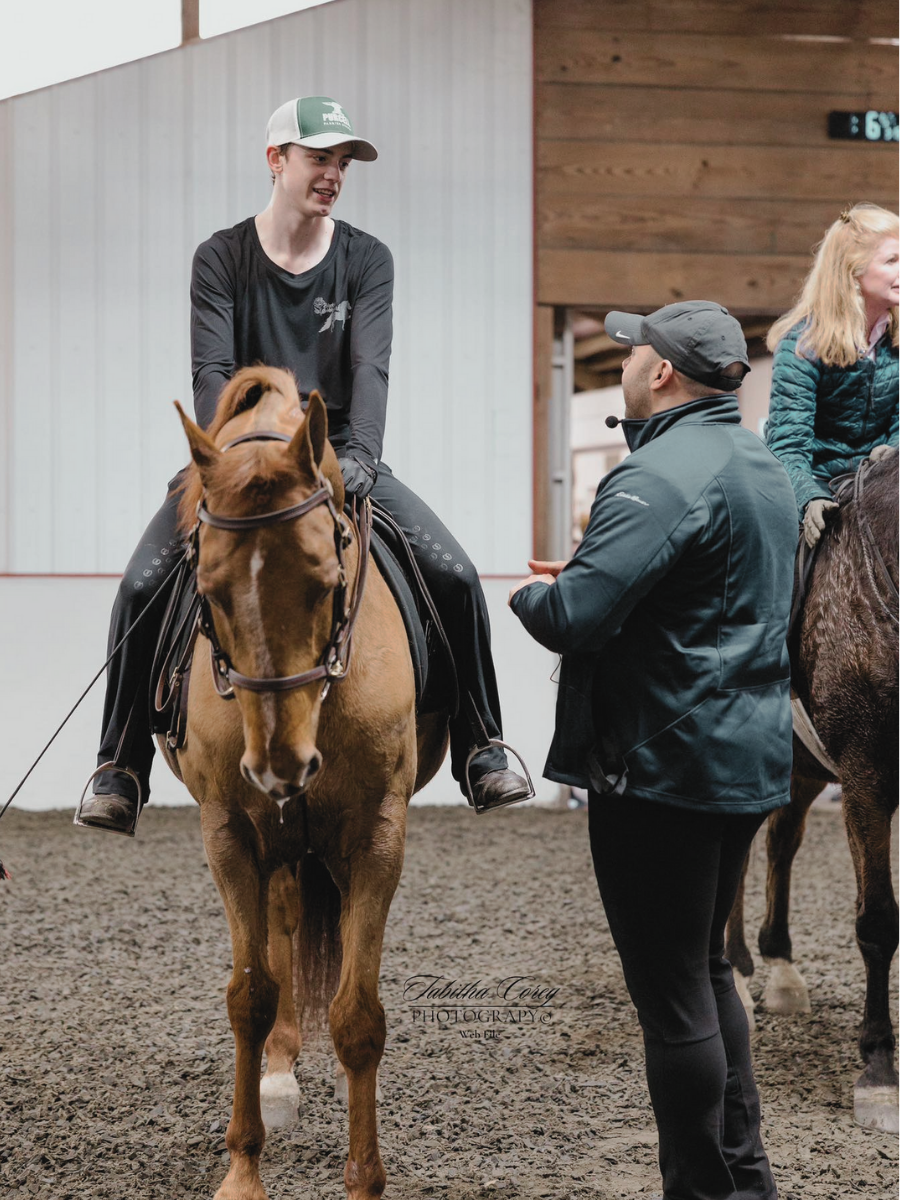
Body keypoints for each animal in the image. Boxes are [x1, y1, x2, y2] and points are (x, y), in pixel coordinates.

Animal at [160, 365, 449, 1200]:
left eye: (325, 583)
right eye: (209, 591)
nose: (281, 767)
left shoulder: (378, 835)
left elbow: (358, 1017)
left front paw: (363, 1180)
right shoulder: (229, 831)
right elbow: (249, 996)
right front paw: (242, 1169)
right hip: (275, 837)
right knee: (282, 927)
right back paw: (279, 1075)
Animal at [725, 449, 899, 1133]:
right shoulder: (866, 774)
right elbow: (878, 921)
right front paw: (880, 1069)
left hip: (798, 771)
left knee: (777, 843)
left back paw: (776, 971)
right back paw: (735, 976)